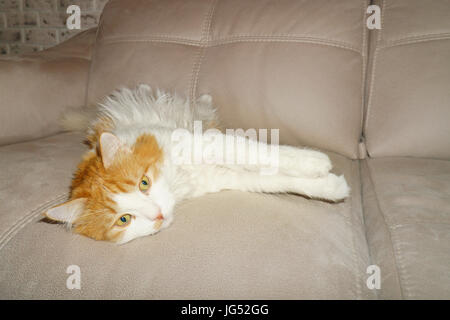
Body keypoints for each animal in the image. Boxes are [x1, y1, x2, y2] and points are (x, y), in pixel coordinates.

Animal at [44, 84, 350, 244]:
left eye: (144, 183)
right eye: (124, 219)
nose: (158, 215)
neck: (178, 179)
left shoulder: (199, 142)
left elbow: (261, 153)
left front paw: (316, 161)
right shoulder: (223, 175)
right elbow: (276, 179)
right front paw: (332, 185)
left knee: (201, 106)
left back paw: (204, 99)